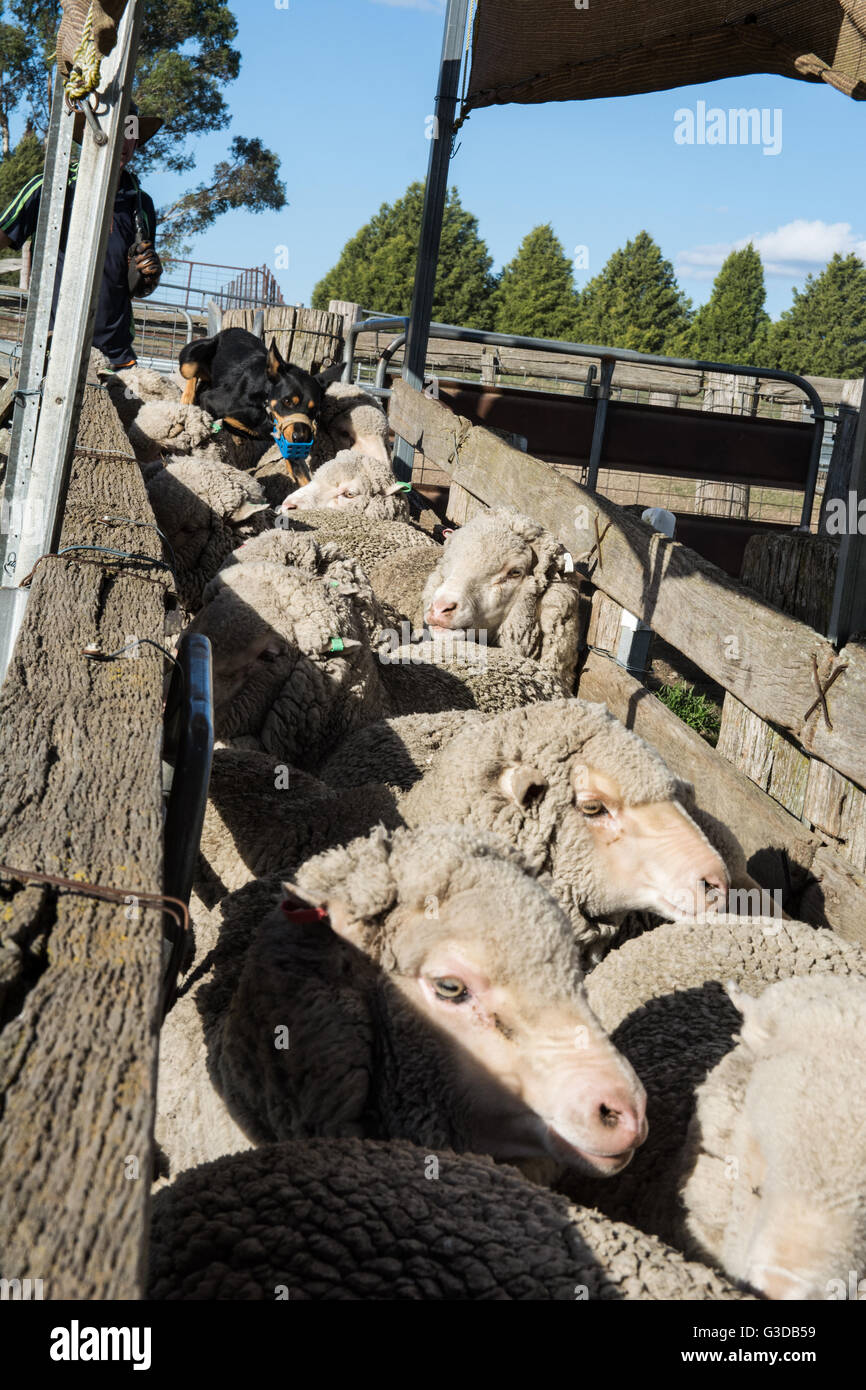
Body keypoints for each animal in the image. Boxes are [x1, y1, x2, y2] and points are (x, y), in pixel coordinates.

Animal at [177, 325, 343, 483]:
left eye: (315, 412)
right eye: (287, 401)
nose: (301, 439)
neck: (264, 406)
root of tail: (232, 330)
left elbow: (303, 478)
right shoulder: (210, 400)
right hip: (192, 358)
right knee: (193, 376)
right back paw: (187, 397)